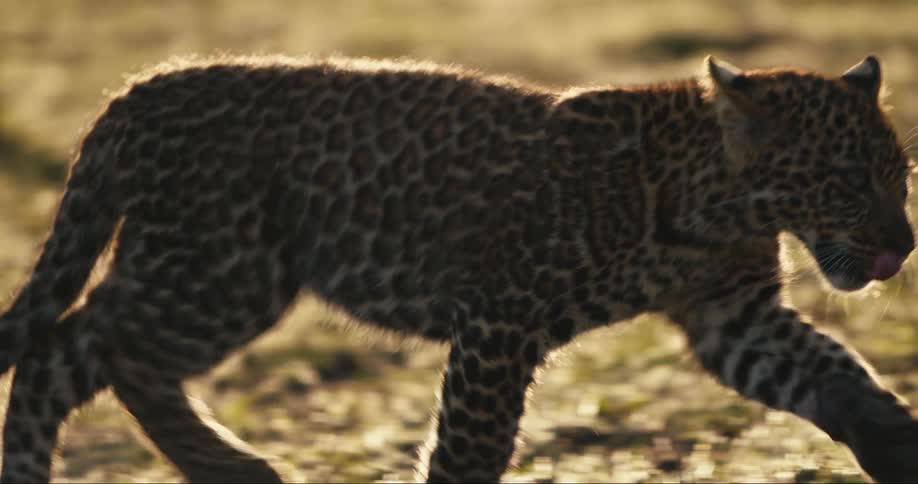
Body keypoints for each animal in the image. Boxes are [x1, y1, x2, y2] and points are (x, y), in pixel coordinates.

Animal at [1, 53, 917, 483]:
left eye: (900, 175)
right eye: (846, 177)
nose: (904, 244)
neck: (723, 203)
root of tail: (134, 93)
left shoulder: (735, 317)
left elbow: (838, 377)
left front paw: (897, 446)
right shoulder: (501, 319)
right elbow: (471, 447)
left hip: (189, 270)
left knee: (70, 352)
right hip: (221, 275)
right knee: (96, 349)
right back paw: (232, 468)